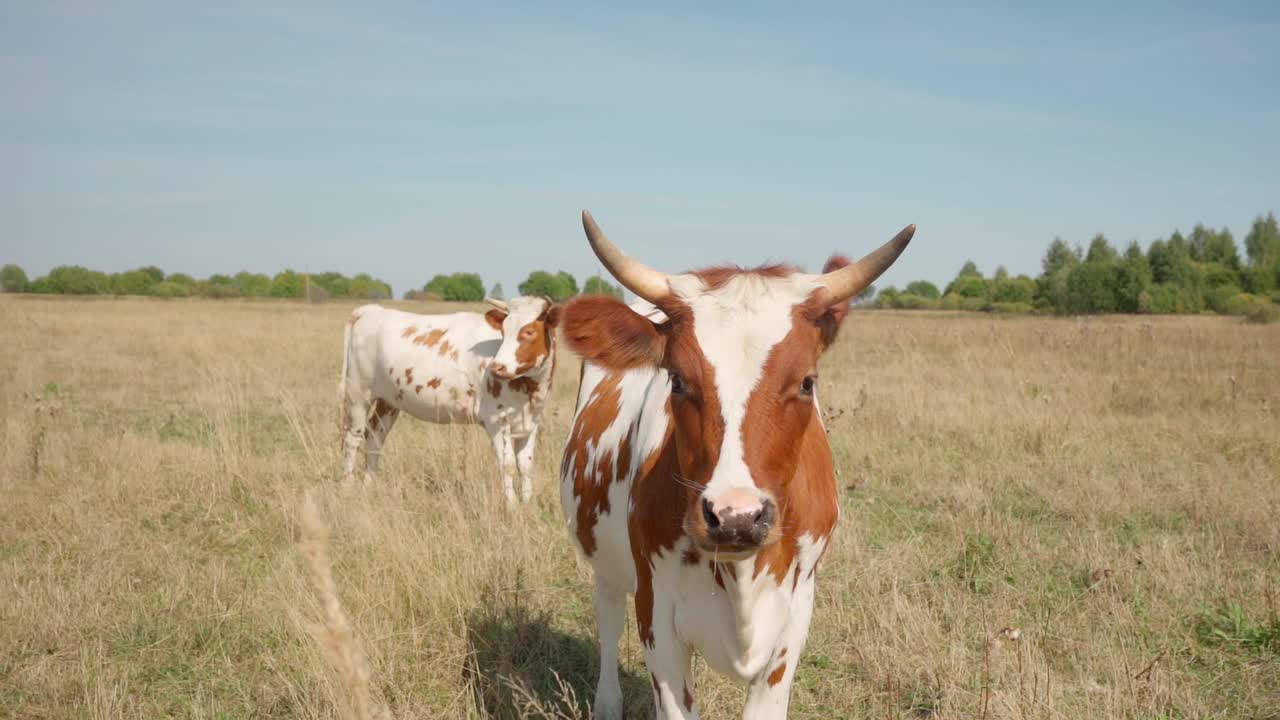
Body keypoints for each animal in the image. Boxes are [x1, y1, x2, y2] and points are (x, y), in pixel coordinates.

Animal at [340, 293, 560, 504]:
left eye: (529, 331)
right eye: (504, 331)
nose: (497, 367)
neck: (530, 389)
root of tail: (369, 310)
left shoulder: (530, 423)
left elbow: (525, 465)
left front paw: (527, 503)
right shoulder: (497, 421)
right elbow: (507, 465)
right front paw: (512, 505)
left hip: (388, 401)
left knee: (375, 436)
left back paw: (369, 483)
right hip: (358, 395)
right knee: (353, 439)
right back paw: (348, 486)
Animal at [558, 210, 911, 712]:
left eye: (806, 382)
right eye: (678, 380)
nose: (736, 518)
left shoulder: (792, 622)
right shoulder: (657, 618)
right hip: (603, 558)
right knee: (607, 619)